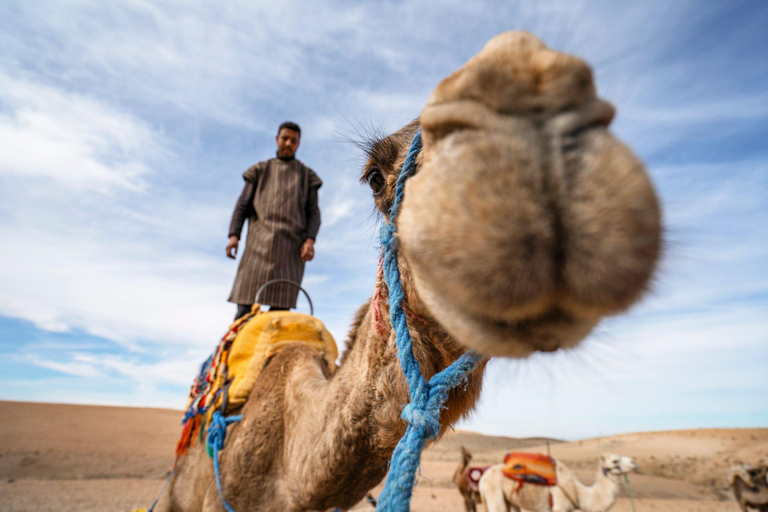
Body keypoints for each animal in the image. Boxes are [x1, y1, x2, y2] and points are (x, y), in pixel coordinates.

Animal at [480, 454, 637, 512]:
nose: (634, 463)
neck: (577, 492)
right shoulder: (559, 506)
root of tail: (483, 479)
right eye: (615, 461)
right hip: (494, 494)